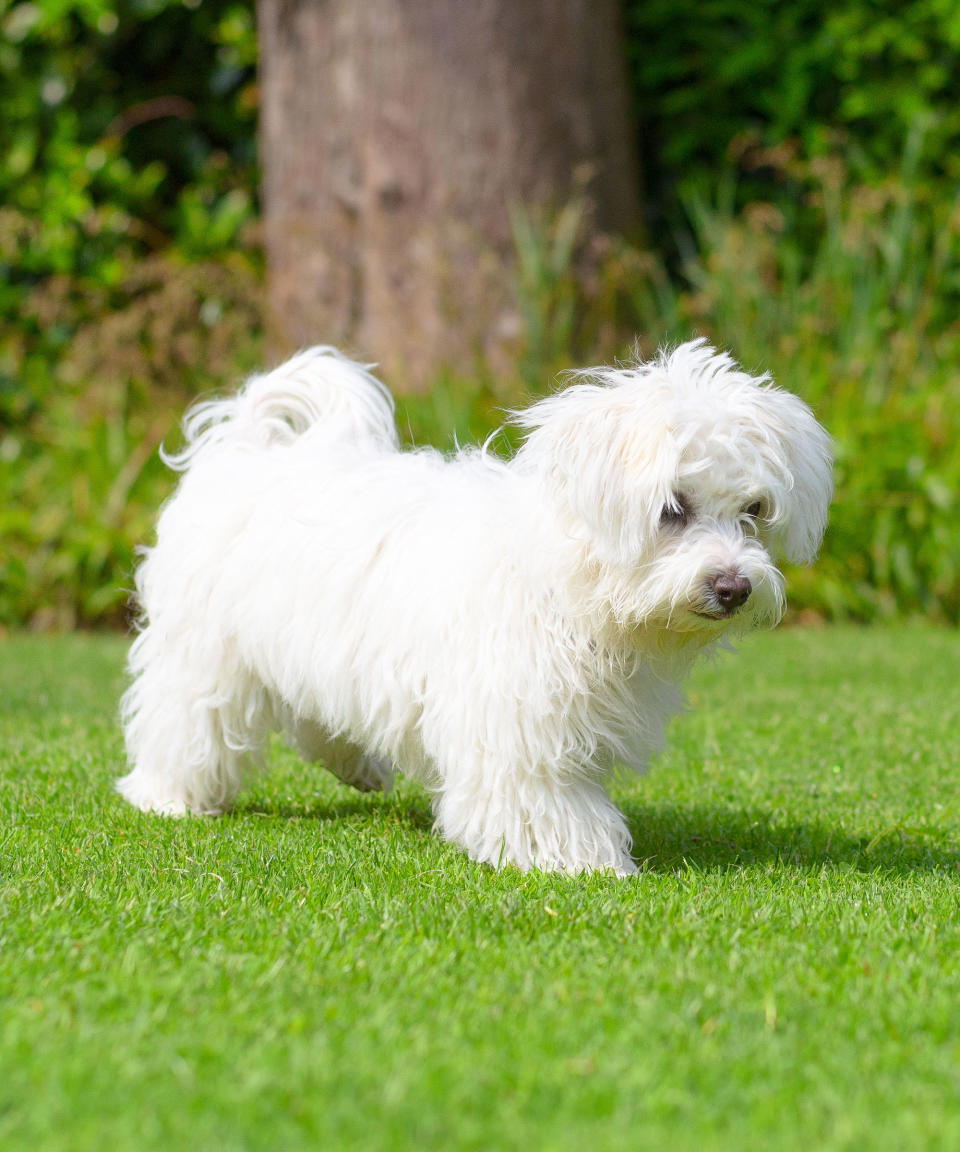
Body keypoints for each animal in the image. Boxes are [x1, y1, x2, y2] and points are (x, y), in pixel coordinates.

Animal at [118, 340, 829, 870]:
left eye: (753, 510)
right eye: (672, 508)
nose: (734, 587)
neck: (571, 578)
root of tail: (244, 446)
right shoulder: (516, 719)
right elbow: (540, 798)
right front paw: (586, 859)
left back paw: (358, 765)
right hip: (204, 651)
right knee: (186, 720)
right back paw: (170, 795)